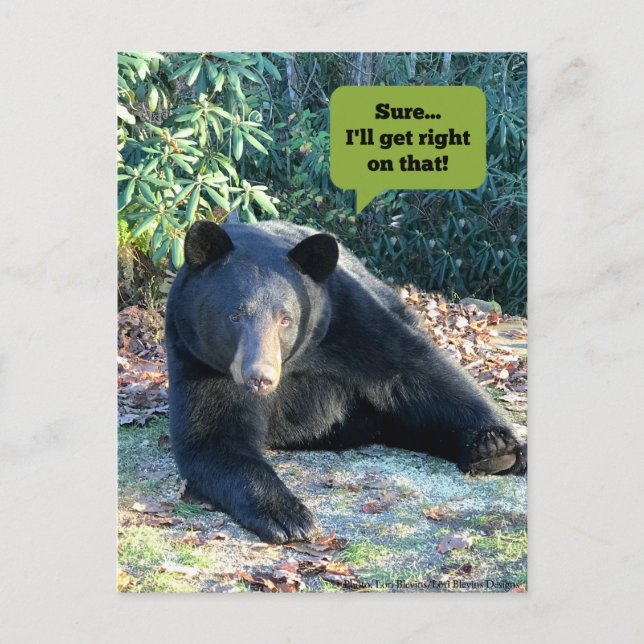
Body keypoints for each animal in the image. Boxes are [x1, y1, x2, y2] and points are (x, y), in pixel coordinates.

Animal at [165, 219, 527, 544]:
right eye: (235, 315)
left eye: (286, 319)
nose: (259, 378)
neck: (297, 361)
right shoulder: (196, 357)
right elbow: (212, 435)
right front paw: (286, 514)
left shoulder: (347, 320)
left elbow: (419, 371)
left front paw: (498, 442)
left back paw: (489, 452)